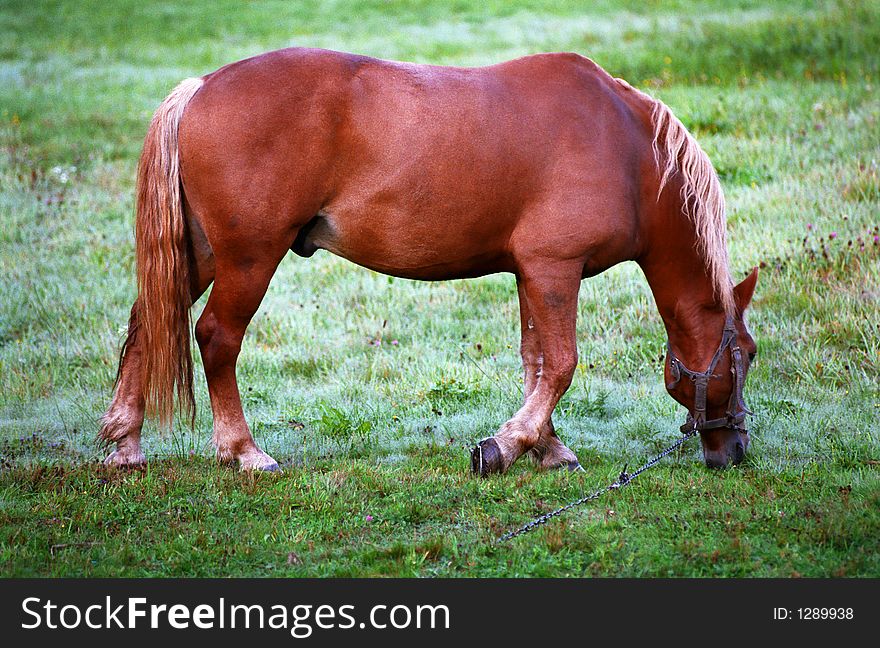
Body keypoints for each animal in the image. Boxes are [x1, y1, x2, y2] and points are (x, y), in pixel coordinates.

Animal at [96, 44, 756, 470]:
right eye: (746, 355)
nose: (736, 451)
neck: (626, 149)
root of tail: (201, 87)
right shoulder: (555, 269)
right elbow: (562, 364)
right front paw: (508, 444)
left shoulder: (531, 273)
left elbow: (536, 362)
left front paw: (542, 446)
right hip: (248, 260)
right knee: (215, 338)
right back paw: (243, 451)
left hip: (201, 255)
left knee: (147, 323)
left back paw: (125, 445)